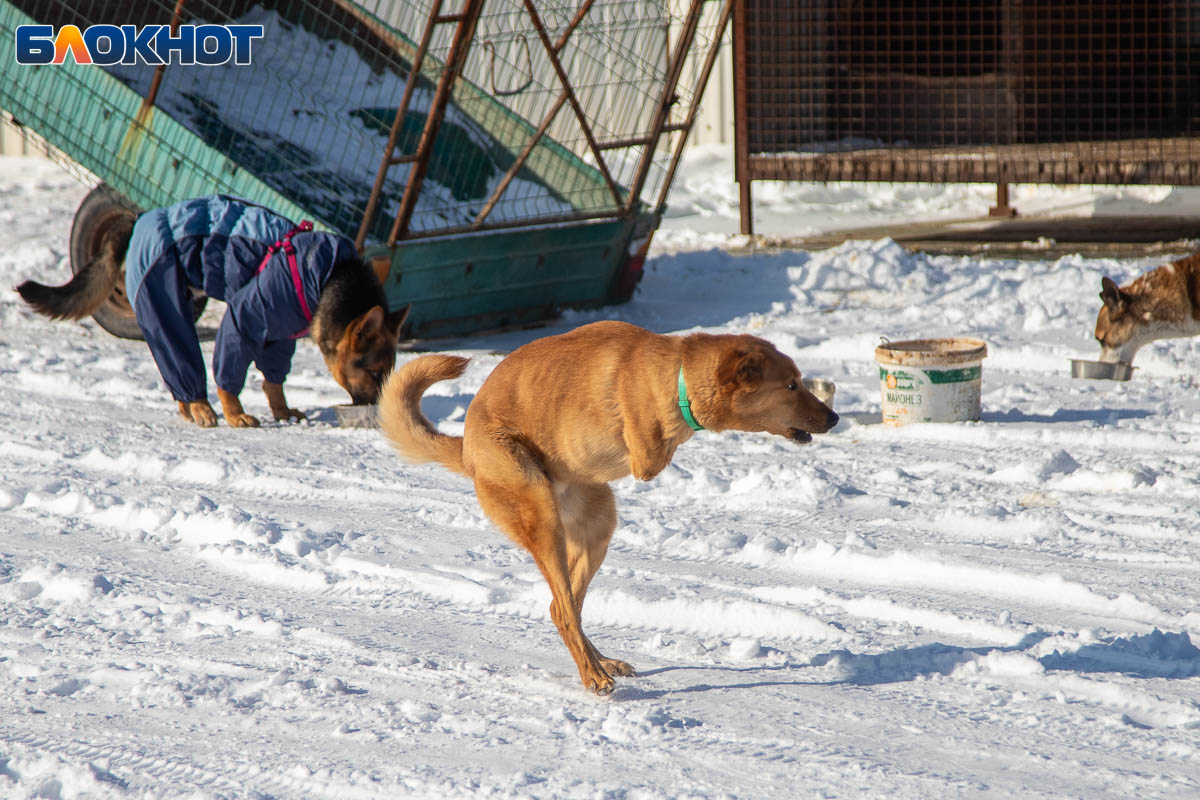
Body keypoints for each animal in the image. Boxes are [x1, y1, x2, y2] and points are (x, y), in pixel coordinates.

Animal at [17, 195, 407, 427]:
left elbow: (274, 379)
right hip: (163, 300)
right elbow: (229, 373)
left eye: (389, 372)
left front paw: (282, 411)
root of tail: (140, 218)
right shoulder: (245, 318)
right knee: (178, 356)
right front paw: (236, 414)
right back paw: (201, 406)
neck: (331, 278)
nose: (384, 411)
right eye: (374, 373)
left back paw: (188, 410)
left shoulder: (279, 334)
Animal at [379, 320, 839, 694]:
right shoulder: (646, 458)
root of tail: (467, 450)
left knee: (564, 607)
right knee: (564, 611)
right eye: (792, 386)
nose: (834, 419)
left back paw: (602, 663)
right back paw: (592, 676)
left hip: (598, 526)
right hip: (541, 514)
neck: (676, 376)